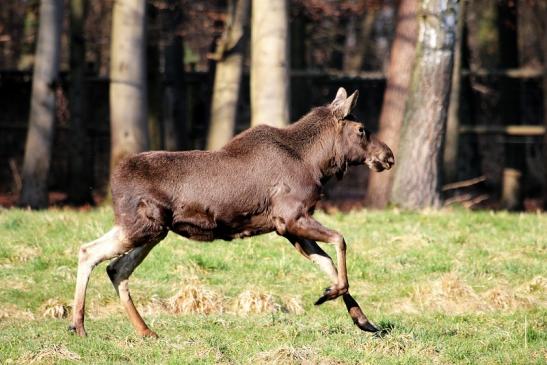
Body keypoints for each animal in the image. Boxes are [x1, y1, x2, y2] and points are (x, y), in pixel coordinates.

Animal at [69, 87, 394, 336]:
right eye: (361, 130)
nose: (389, 155)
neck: (318, 164)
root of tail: (113, 180)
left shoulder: (289, 229)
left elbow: (327, 264)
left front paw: (364, 321)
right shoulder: (290, 217)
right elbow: (340, 241)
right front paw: (330, 295)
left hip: (150, 230)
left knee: (116, 268)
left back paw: (144, 330)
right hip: (143, 226)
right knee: (89, 252)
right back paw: (79, 326)